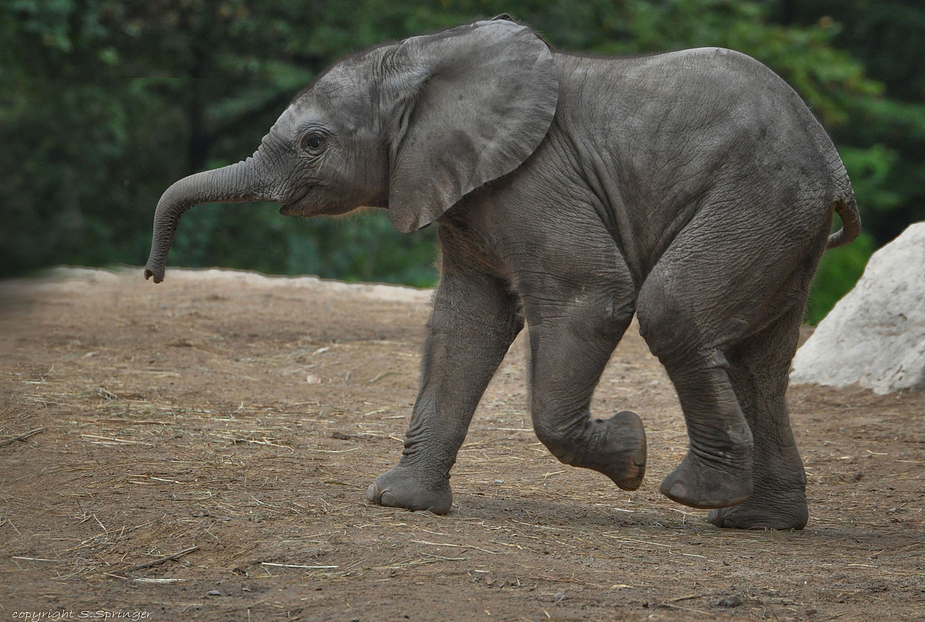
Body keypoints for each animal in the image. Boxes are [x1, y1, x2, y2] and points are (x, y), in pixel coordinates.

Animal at [144, 15, 860, 532]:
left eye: (313, 143)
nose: (153, 273)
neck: (424, 61)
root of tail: (832, 161)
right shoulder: (461, 190)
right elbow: (465, 324)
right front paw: (400, 502)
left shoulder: (535, 178)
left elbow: (591, 293)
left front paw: (631, 452)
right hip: (780, 223)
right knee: (755, 362)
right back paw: (758, 520)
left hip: (756, 199)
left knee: (675, 310)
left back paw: (695, 491)